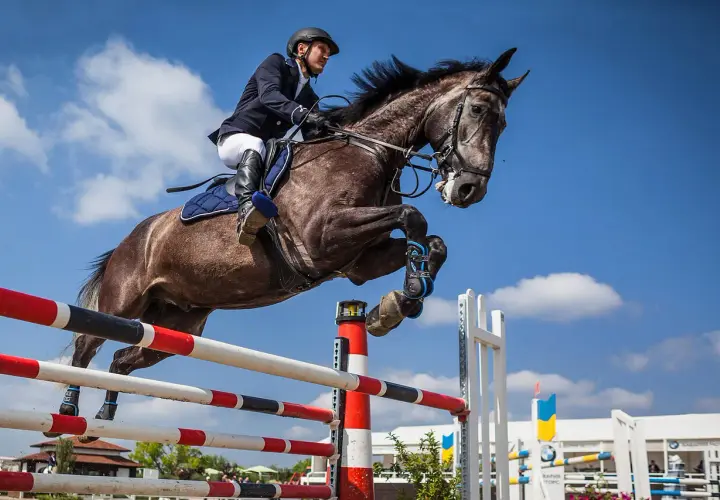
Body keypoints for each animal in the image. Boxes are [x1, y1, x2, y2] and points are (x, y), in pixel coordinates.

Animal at [46, 48, 528, 442]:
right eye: (478, 109)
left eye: (504, 123)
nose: (469, 190)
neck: (368, 153)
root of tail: (132, 238)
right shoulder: (322, 238)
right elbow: (415, 217)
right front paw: (402, 297)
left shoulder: (357, 261)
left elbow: (433, 241)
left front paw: (395, 305)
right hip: (124, 301)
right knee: (87, 343)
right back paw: (67, 412)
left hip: (180, 323)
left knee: (123, 358)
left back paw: (104, 415)